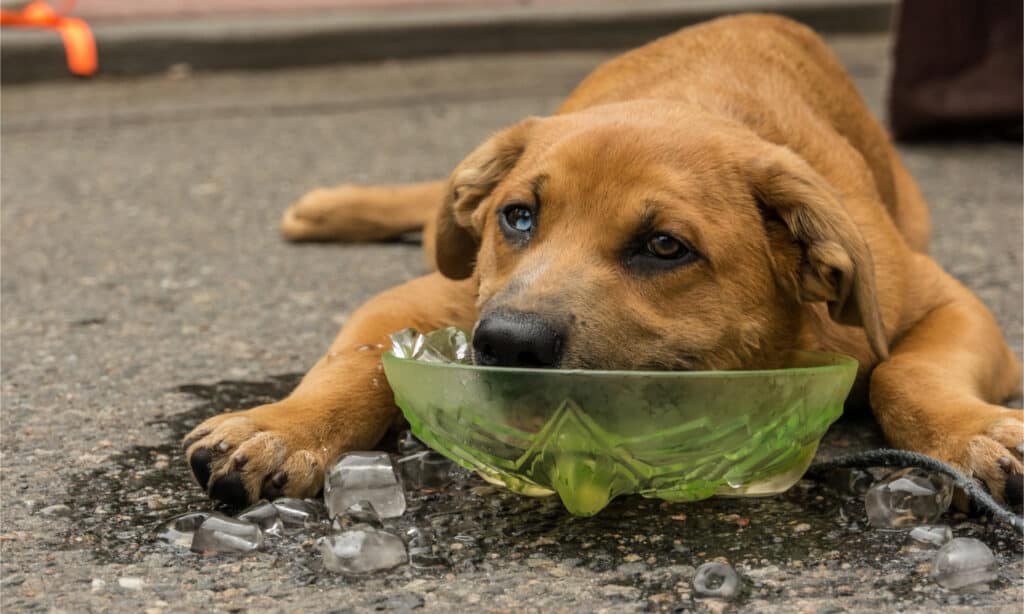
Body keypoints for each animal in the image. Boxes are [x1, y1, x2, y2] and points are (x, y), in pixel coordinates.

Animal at [186, 16, 1024, 511]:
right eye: (517, 217)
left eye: (664, 247)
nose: (506, 344)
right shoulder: (438, 293)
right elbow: (354, 364)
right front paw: (281, 427)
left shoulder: (944, 301)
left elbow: (903, 373)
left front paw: (973, 434)